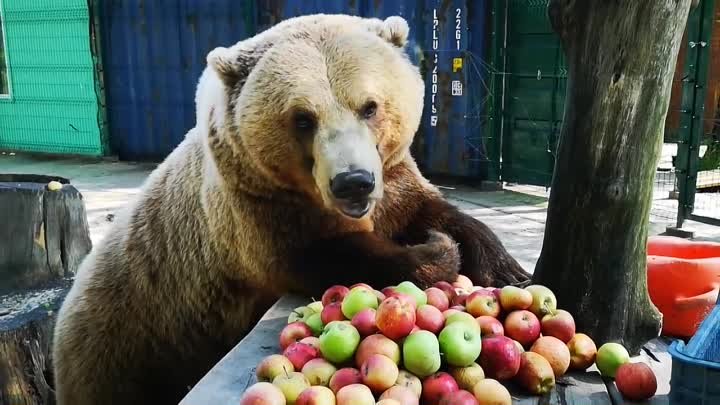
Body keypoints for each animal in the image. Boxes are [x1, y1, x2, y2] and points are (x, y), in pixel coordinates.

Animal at [50, 14, 528, 404]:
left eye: (370, 106)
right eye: (302, 118)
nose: (353, 181)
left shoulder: (393, 179)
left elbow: (430, 209)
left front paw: (505, 268)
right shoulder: (259, 212)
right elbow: (329, 255)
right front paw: (434, 250)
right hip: (130, 347)